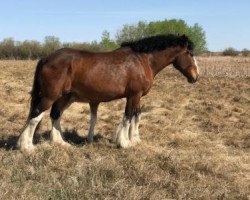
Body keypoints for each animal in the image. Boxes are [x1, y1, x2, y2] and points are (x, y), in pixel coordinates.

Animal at [17, 34, 199, 152]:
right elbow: (128, 116)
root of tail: (46, 58)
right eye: (189, 53)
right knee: (36, 116)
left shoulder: (138, 96)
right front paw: (125, 143)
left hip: (64, 97)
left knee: (55, 115)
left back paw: (60, 143)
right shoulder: (133, 95)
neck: (142, 60)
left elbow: (137, 115)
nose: (196, 76)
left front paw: (135, 139)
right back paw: (27, 147)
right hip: (49, 96)